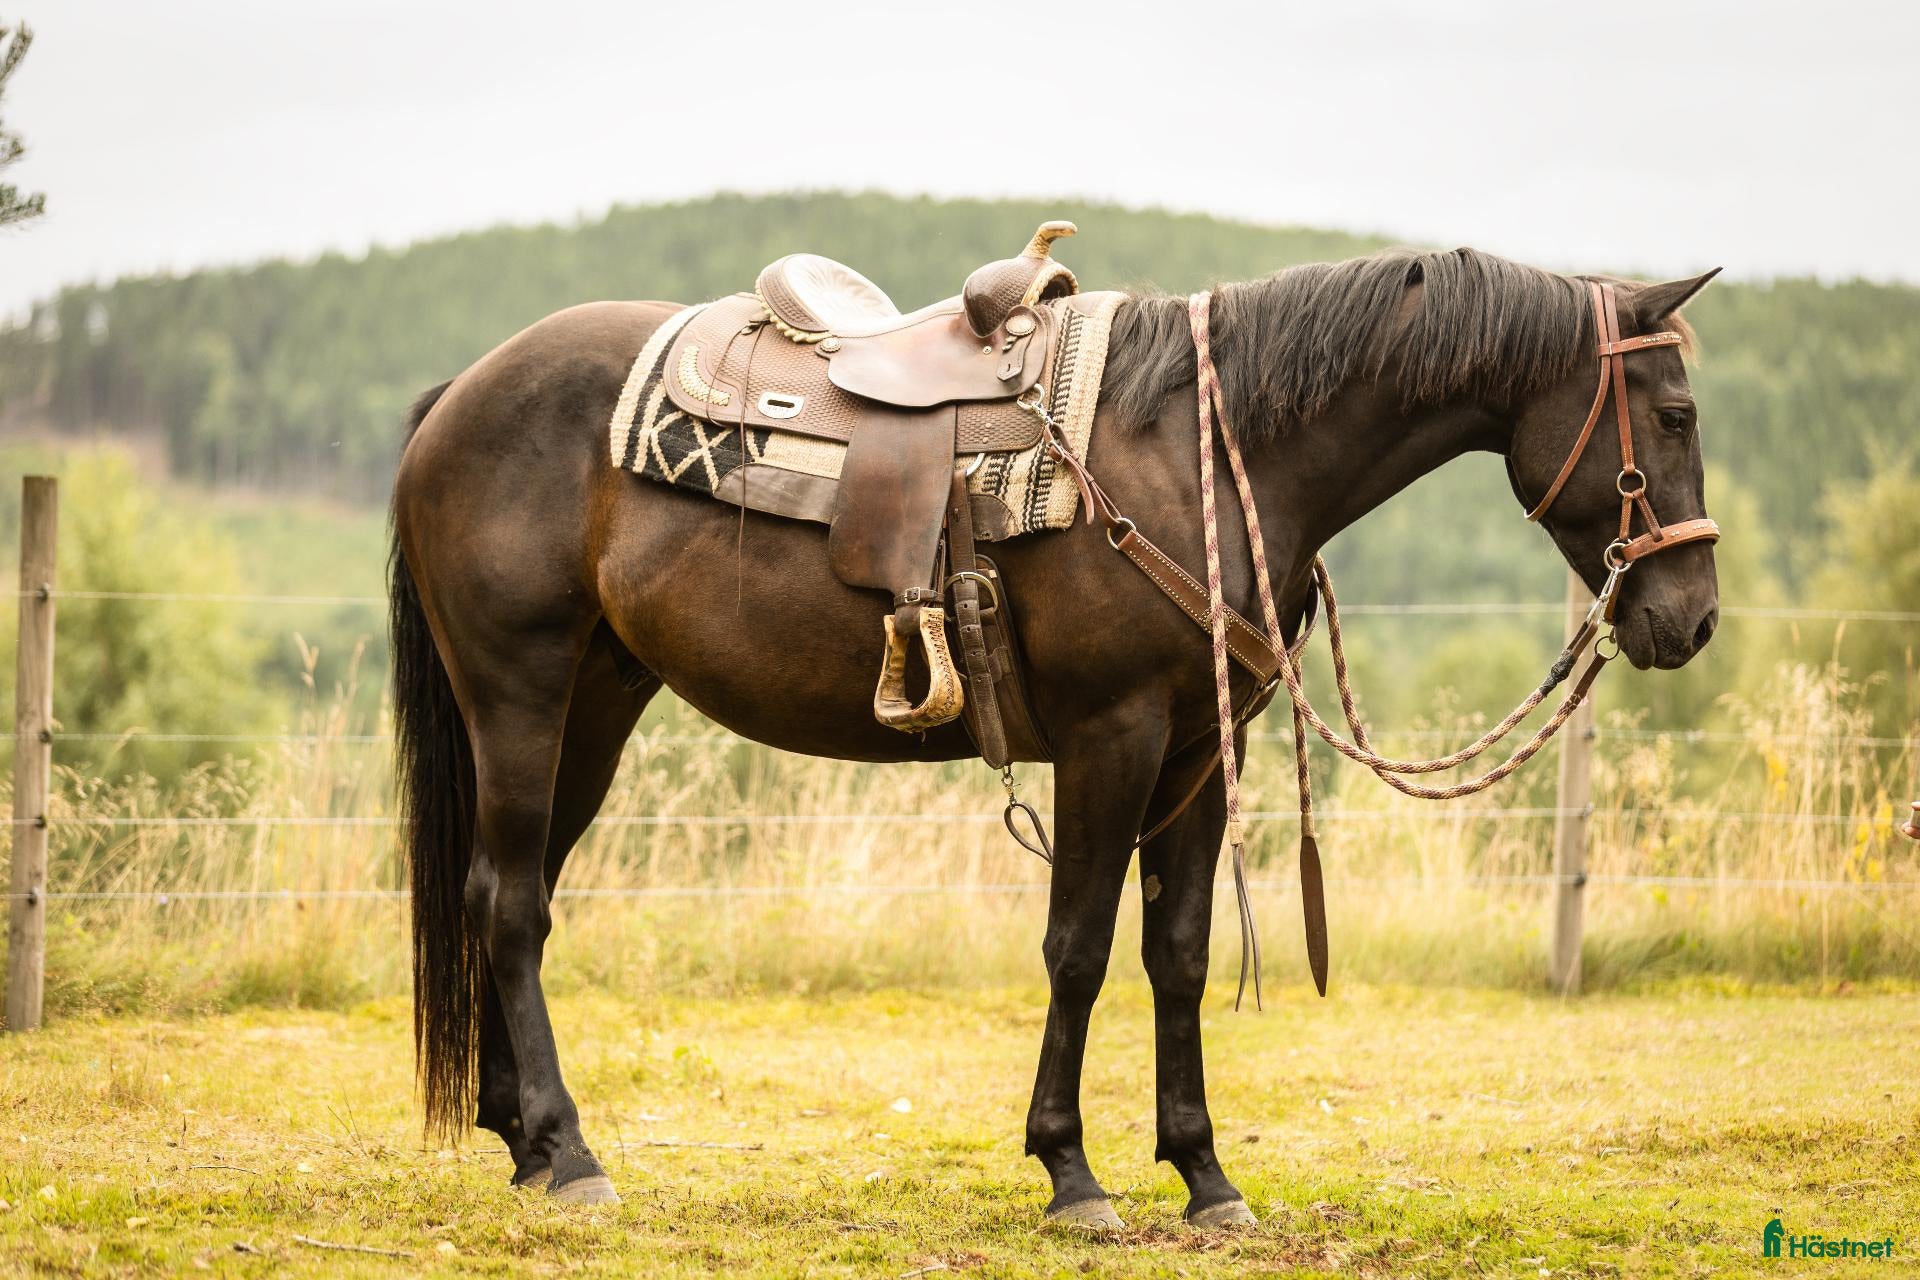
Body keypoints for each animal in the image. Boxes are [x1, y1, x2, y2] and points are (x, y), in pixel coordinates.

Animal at [387, 244, 1721, 1226]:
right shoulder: (1110, 735)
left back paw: (523, 1139)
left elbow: (1177, 952)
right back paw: (571, 1152)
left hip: (595, 704)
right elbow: (1077, 946)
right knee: (513, 902)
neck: (1202, 447)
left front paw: (1204, 1174)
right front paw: (1071, 1171)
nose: (1694, 615)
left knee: (500, 889)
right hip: (519, 692)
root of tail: (459, 395)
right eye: (1675, 412)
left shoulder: (1197, 752)